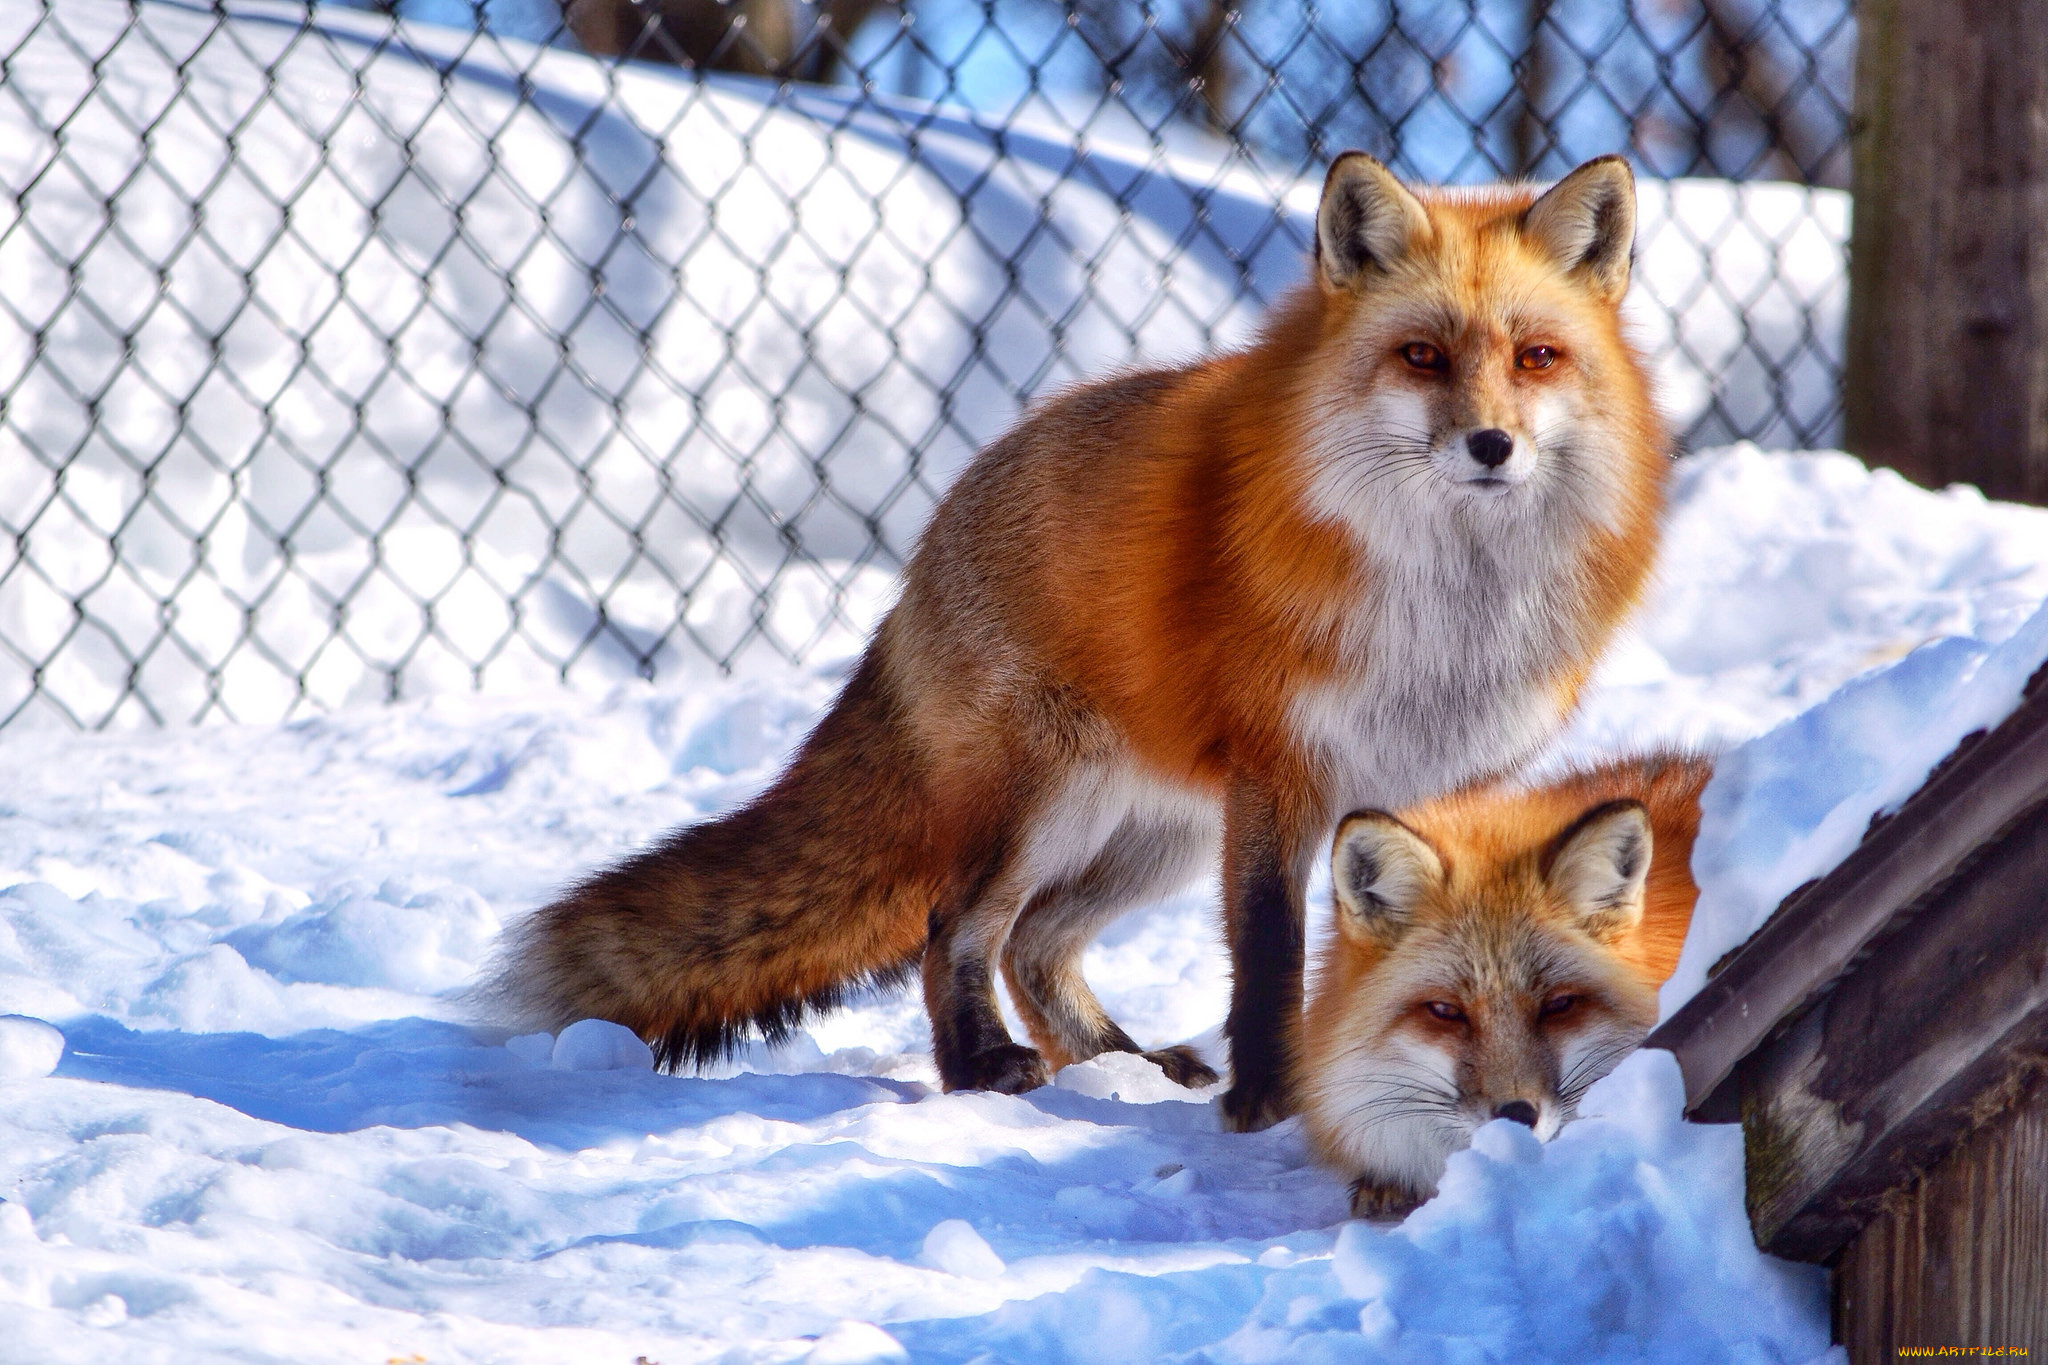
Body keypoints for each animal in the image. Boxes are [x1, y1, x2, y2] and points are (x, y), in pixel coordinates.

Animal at [487, 152, 1671, 1129]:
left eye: (1536, 356)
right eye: (1421, 355)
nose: (1490, 445)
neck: (1449, 609)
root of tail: (930, 539)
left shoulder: (1438, 787)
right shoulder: (1280, 774)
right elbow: (1270, 955)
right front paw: (1268, 1108)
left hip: (1155, 830)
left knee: (1035, 940)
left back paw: (1122, 1065)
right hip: (1046, 802)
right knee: (955, 925)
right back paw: (980, 1069)